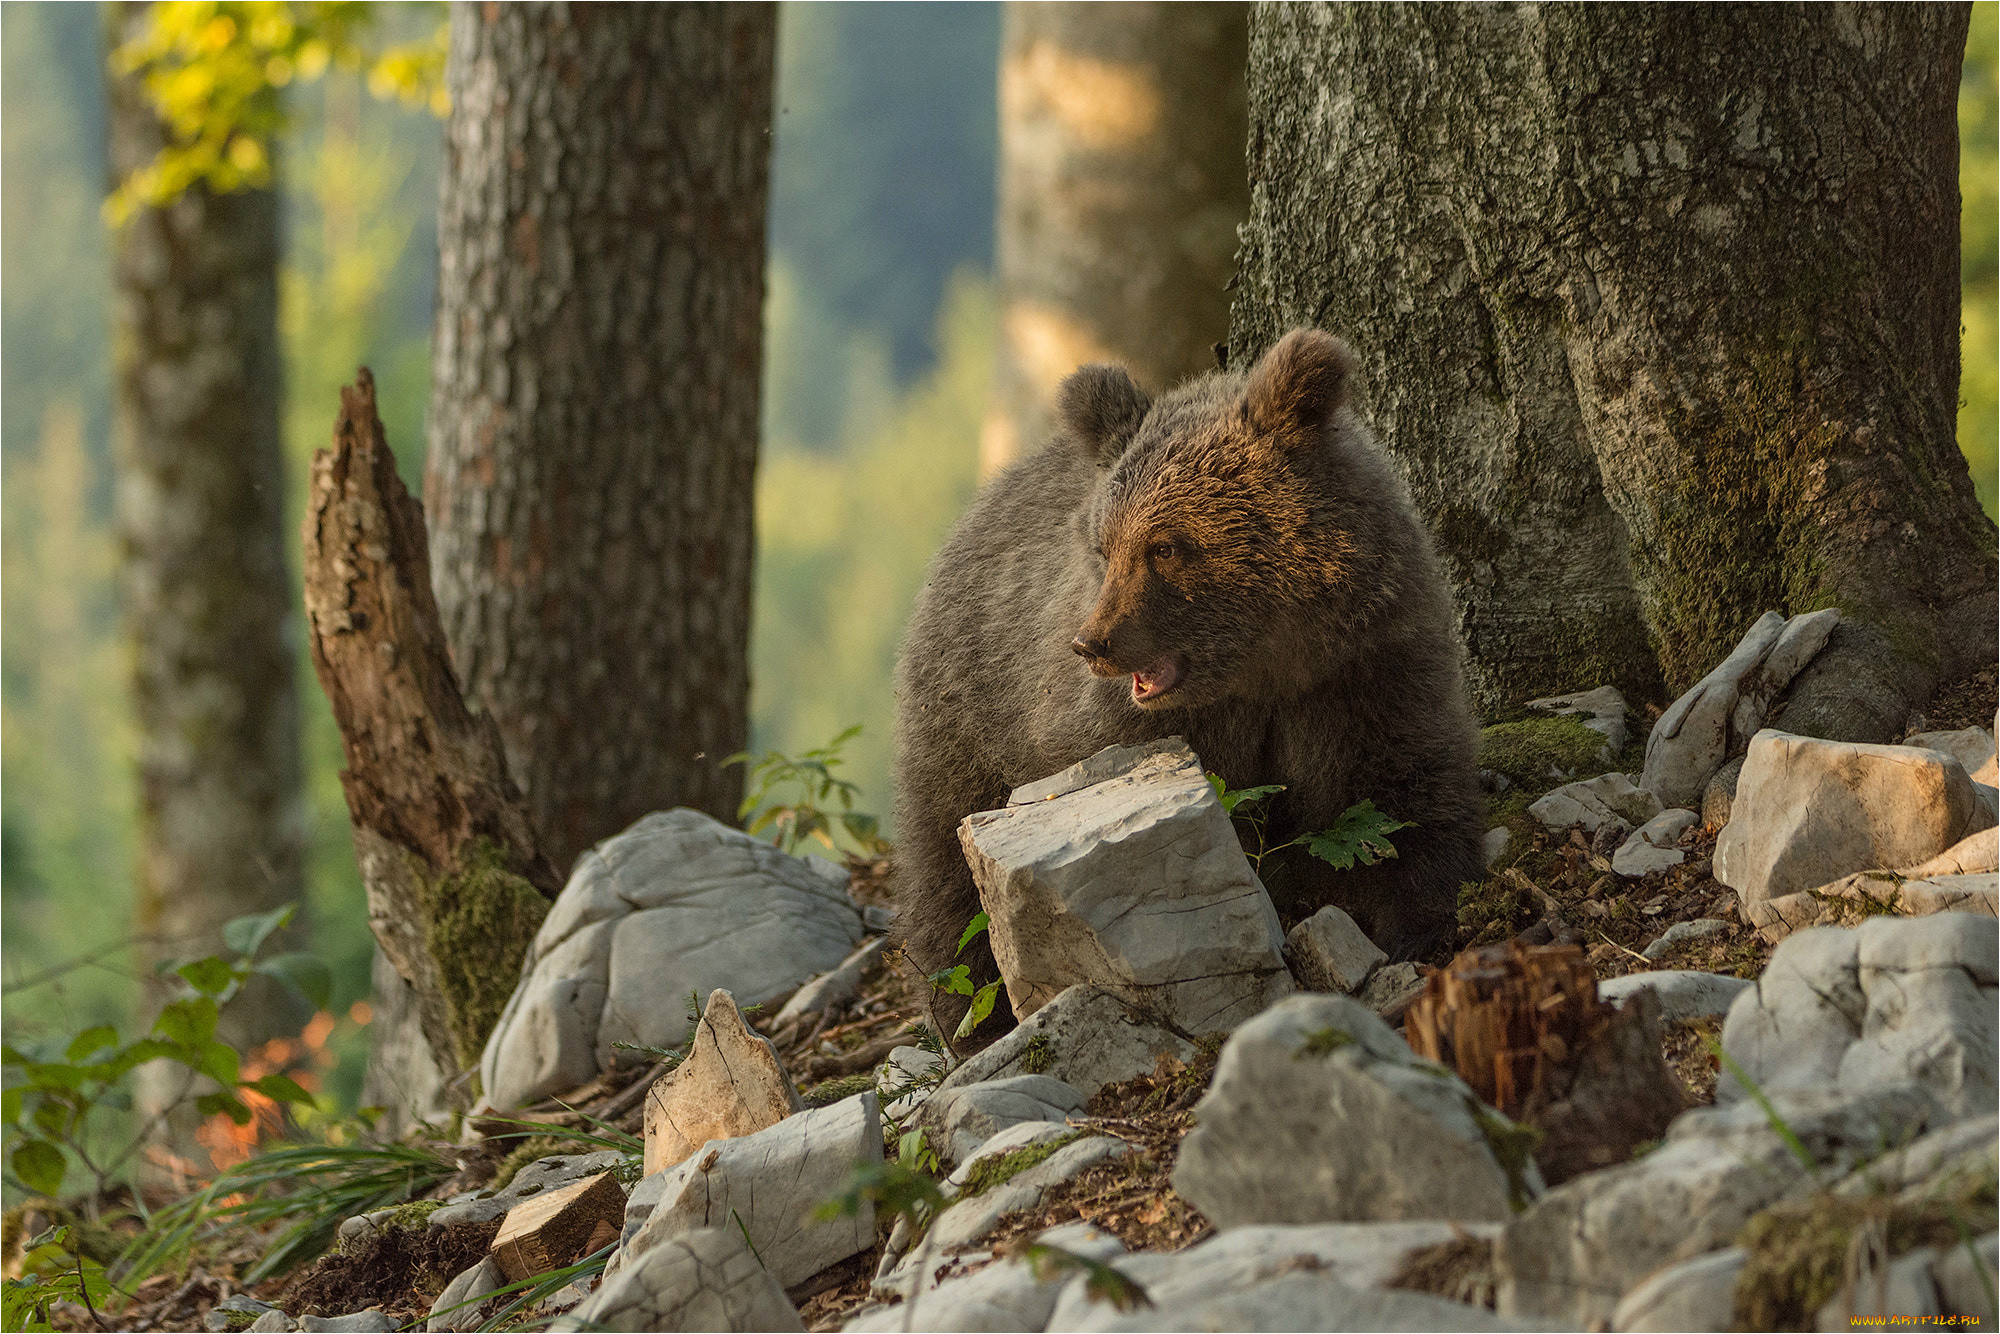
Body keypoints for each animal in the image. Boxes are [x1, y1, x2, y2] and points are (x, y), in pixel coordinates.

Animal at [896, 328, 1488, 1040]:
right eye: (1106, 547)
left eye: (1166, 545)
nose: (1092, 643)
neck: (1260, 671)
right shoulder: (1127, 731)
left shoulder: (1362, 671)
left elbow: (1397, 797)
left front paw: (1414, 923)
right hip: (965, 718)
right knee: (948, 878)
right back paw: (967, 1014)